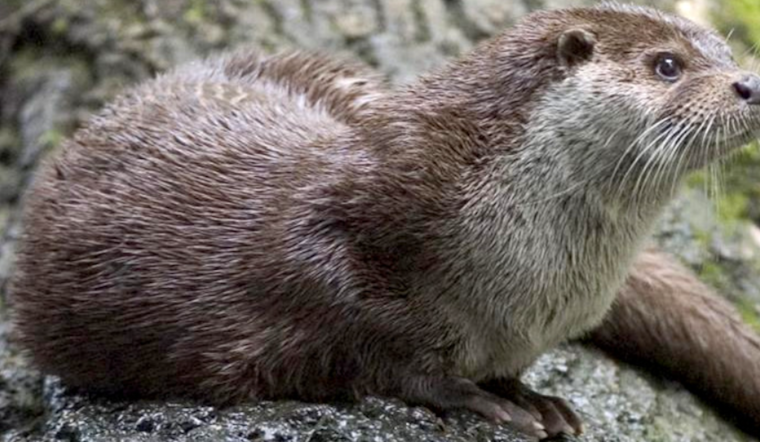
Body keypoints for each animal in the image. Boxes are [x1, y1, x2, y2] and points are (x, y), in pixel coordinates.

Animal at [9, 3, 760, 439]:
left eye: (728, 53)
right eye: (667, 65)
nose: (750, 82)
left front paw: (531, 395)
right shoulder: (337, 242)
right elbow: (368, 340)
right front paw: (476, 396)